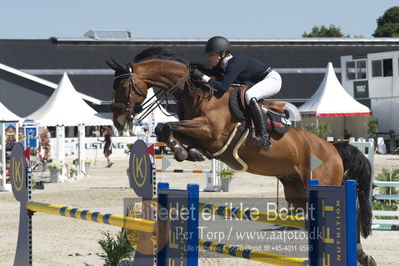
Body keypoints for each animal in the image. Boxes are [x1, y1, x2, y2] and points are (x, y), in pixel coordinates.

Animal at [108, 47, 376, 264]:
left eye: (123, 87)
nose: (118, 122)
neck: (198, 92)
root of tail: (333, 149)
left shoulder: (211, 131)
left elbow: (167, 126)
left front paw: (182, 150)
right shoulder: (200, 134)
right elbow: (167, 129)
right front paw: (186, 151)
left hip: (323, 183)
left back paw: (361, 255)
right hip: (297, 191)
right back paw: (362, 256)